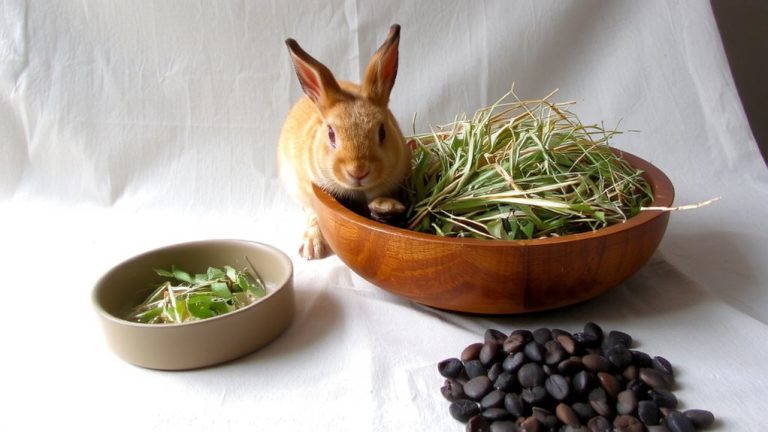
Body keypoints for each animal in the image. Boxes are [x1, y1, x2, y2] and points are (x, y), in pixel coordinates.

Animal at [277, 24, 412, 260]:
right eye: (331, 134)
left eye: (382, 132)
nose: (358, 171)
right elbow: (314, 215)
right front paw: (312, 249)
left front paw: (386, 205)